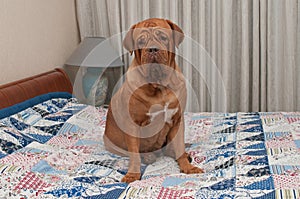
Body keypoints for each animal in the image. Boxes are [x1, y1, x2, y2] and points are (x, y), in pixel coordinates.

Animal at [103, 18, 204, 183]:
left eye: (163, 37)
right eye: (140, 41)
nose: (152, 49)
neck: (159, 86)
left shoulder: (177, 120)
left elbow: (179, 147)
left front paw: (188, 167)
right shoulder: (132, 124)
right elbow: (134, 155)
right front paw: (132, 175)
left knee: (171, 149)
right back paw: (149, 156)